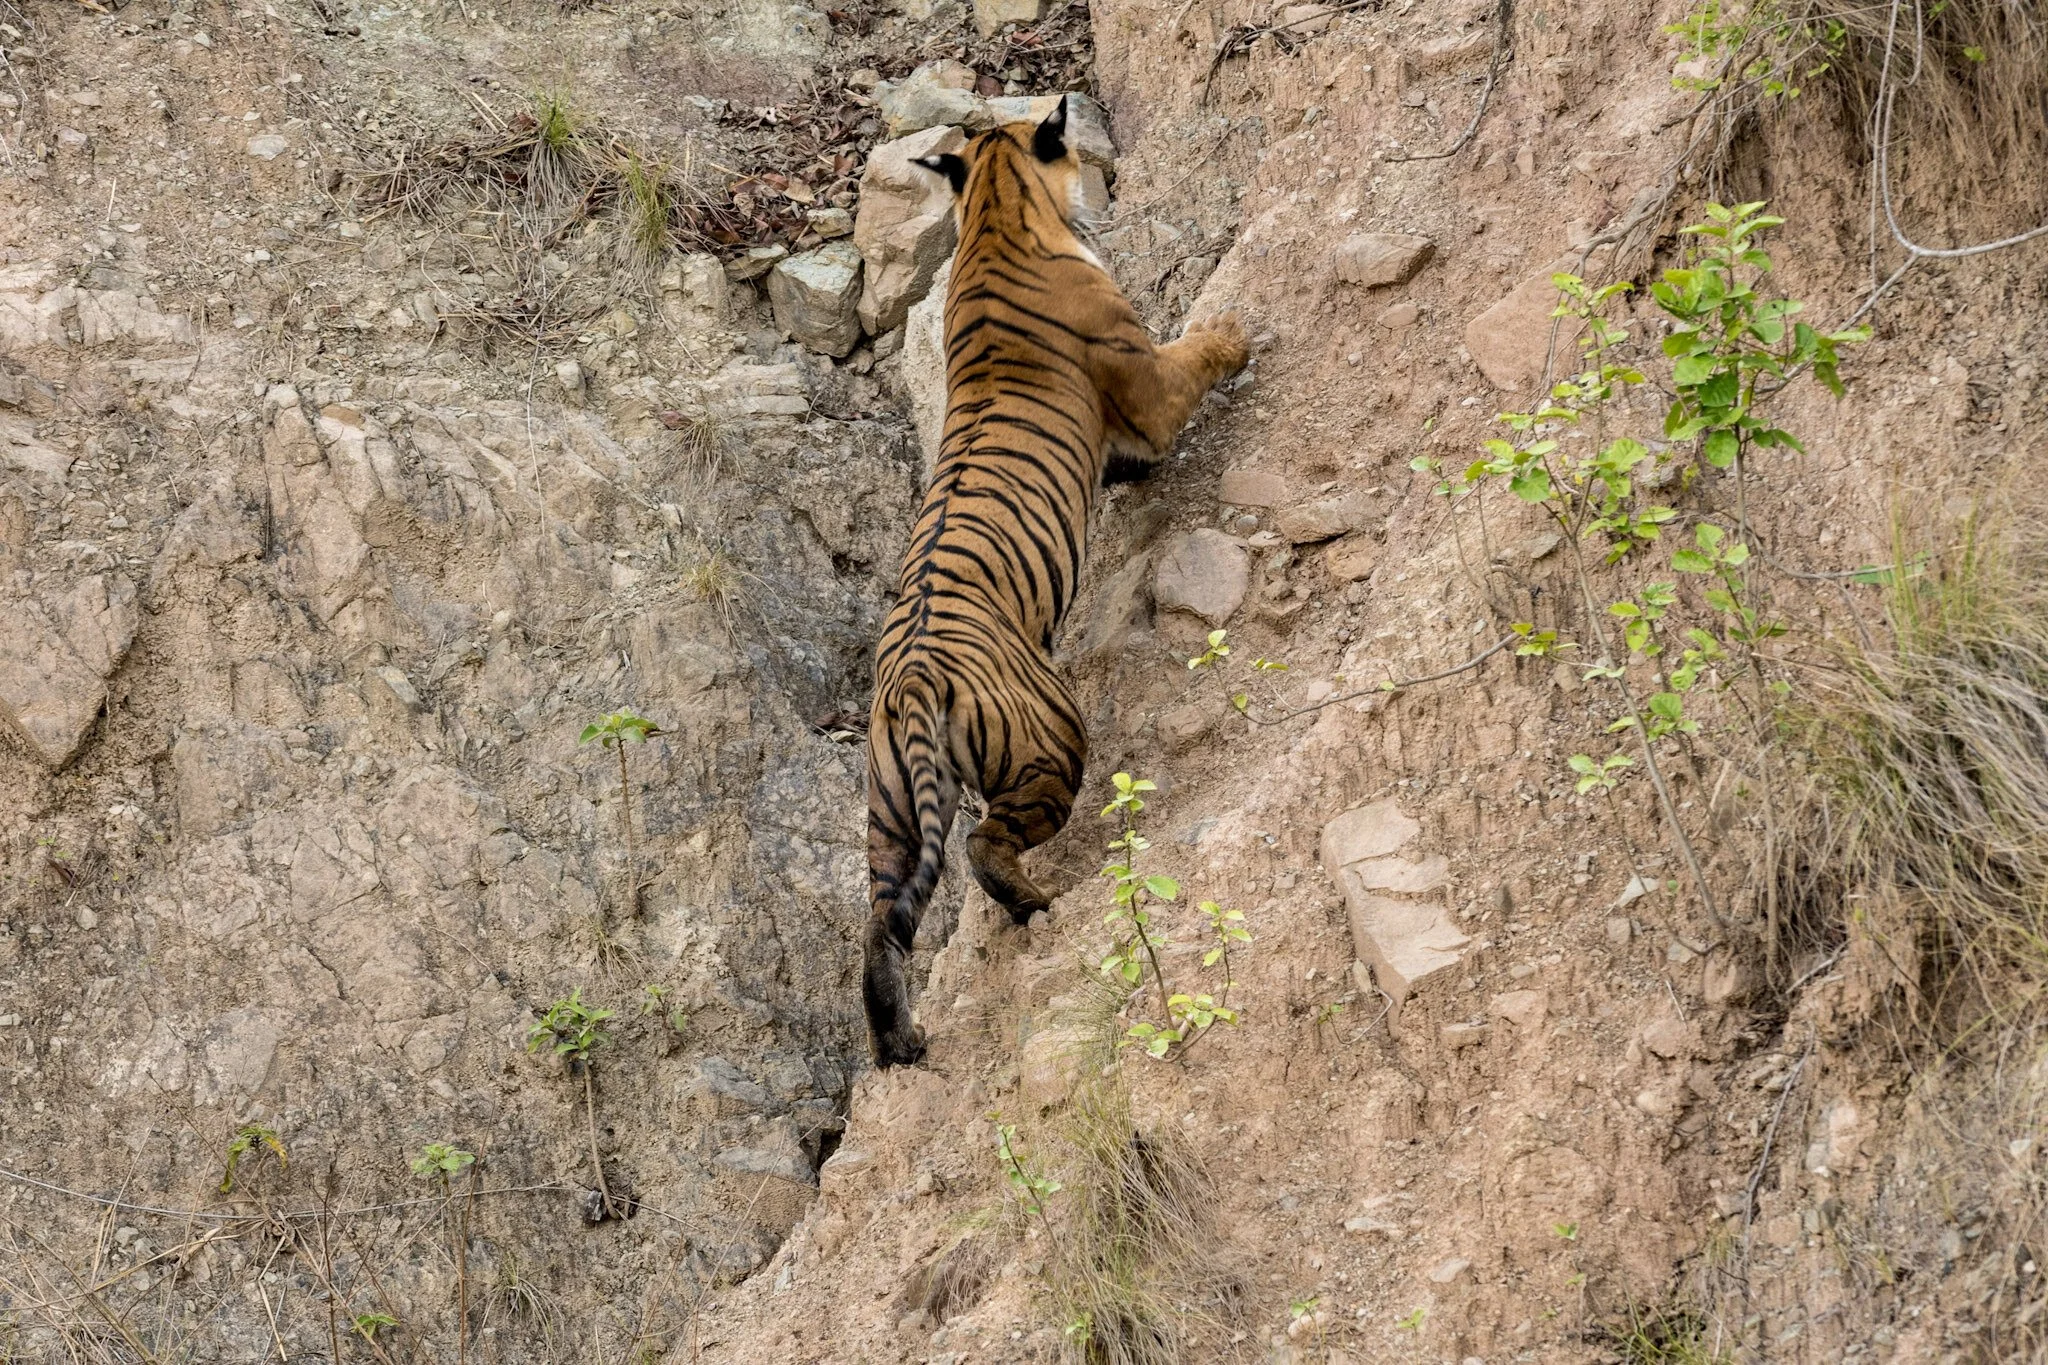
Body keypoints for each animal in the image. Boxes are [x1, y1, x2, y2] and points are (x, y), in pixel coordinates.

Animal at [863, 94, 1250, 1068]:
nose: (1109, 175)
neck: (996, 213)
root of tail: (911, 677)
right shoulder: (1148, 381)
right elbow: (1196, 353)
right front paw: (1237, 329)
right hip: (1051, 739)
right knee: (981, 845)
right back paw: (1034, 904)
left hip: (889, 816)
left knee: (880, 926)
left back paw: (899, 1044)